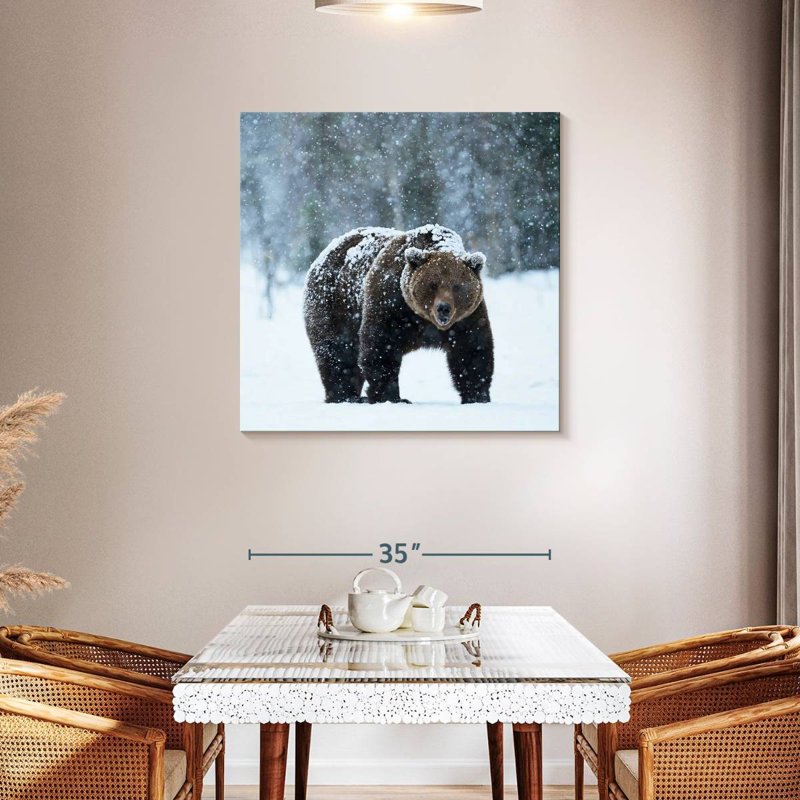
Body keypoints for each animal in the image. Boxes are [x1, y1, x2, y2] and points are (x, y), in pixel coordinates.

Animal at [303, 224, 493, 404]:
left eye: (457, 286)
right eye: (432, 284)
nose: (443, 308)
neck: (423, 319)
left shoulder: (467, 317)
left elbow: (472, 350)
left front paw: (477, 396)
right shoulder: (390, 303)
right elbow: (381, 347)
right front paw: (392, 396)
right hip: (334, 306)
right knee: (337, 353)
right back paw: (345, 396)